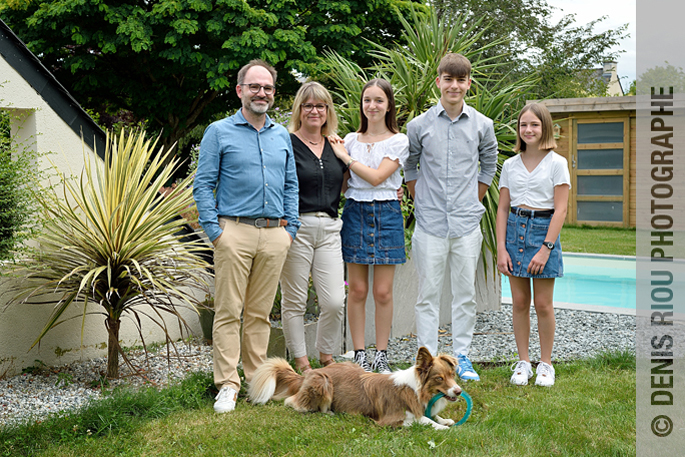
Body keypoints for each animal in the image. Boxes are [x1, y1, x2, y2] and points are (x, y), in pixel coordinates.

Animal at [248, 348, 462, 430]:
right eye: (439, 378)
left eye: (452, 375)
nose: (459, 391)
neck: (417, 389)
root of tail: (308, 374)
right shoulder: (390, 420)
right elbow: (423, 420)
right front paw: (441, 427)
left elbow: (430, 415)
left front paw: (444, 420)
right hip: (323, 383)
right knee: (292, 402)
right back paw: (329, 413)